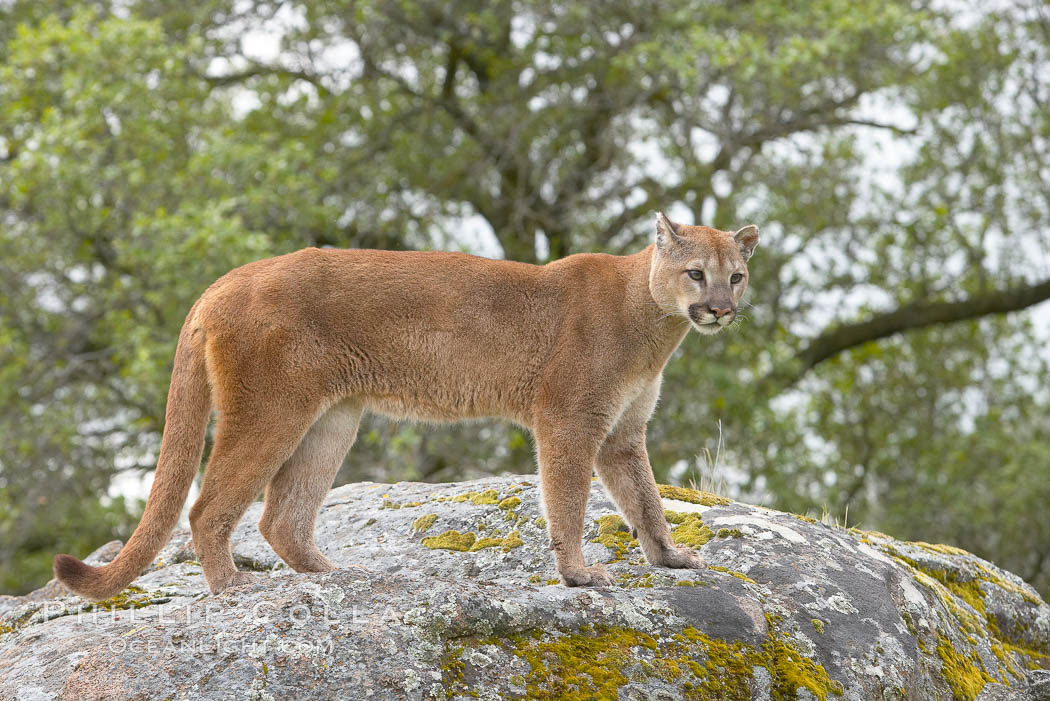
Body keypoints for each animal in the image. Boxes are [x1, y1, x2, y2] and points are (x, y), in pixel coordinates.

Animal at [53, 211, 760, 596]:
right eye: (696, 272)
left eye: (737, 274)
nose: (721, 309)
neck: (653, 323)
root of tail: (223, 281)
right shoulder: (571, 420)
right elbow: (569, 501)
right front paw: (580, 575)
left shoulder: (621, 432)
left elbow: (645, 501)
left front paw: (670, 558)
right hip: (272, 411)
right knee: (207, 507)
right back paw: (235, 586)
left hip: (332, 418)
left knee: (281, 516)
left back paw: (334, 575)